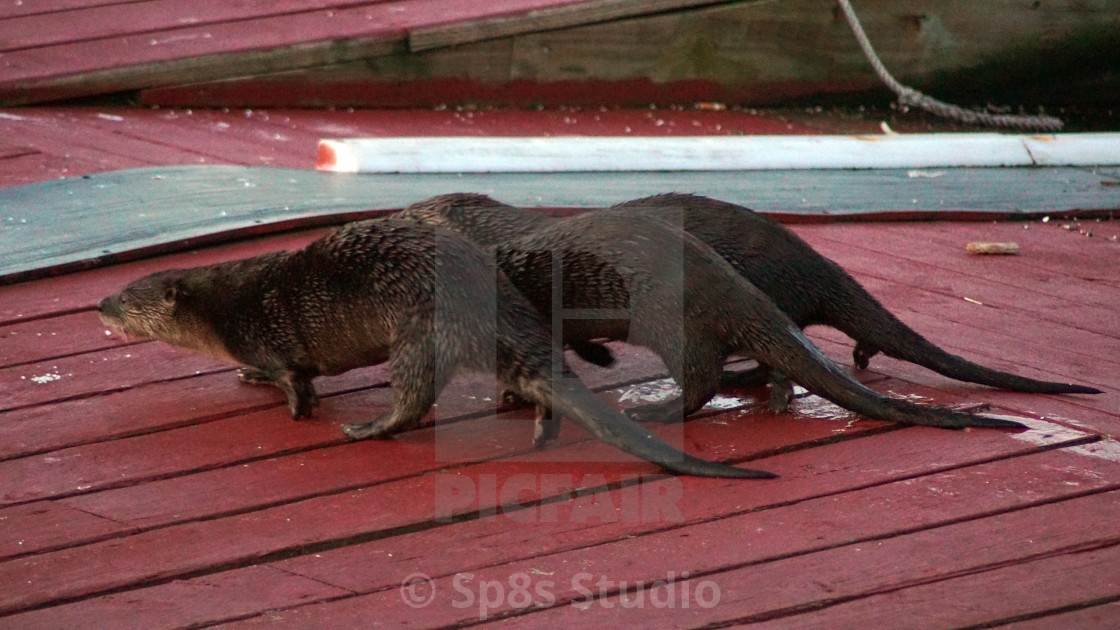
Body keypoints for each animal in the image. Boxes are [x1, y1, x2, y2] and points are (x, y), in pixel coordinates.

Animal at [98, 218, 770, 477]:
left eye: (128, 297)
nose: (99, 305)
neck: (228, 306)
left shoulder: (268, 334)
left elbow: (294, 376)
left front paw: (295, 405)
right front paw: (249, 379)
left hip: (417, 337)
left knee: (414, 400)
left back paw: (369, 428)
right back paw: (539, 429)